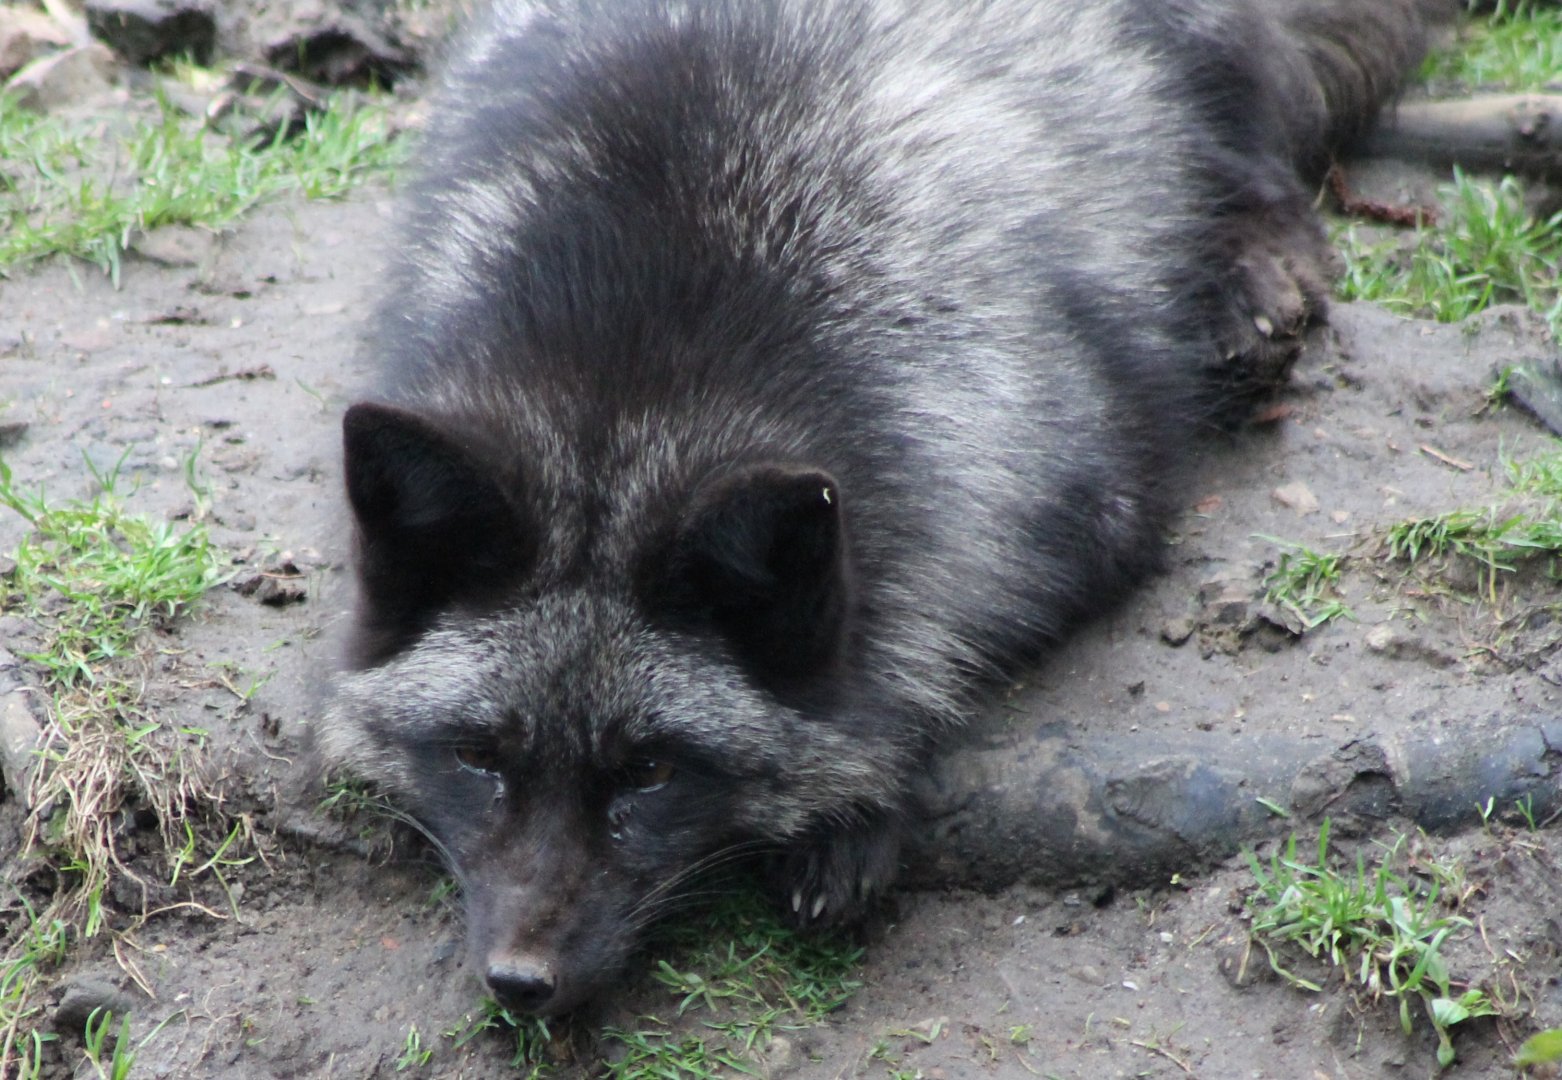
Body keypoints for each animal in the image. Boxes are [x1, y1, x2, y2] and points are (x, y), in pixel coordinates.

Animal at [321, 0, 1445, 1016]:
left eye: (647, 771)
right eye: (476, 755)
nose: (520, 983)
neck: (632, 372)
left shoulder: (1096, 488)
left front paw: (859, 803)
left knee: (1261, 163)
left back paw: (1249, 285)